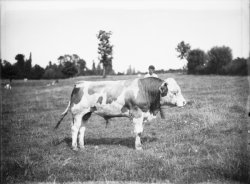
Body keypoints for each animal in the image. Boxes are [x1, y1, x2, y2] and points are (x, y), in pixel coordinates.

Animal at [55, 77, 188, 150]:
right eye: (174, 92)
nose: (184, 102)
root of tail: (79, 83)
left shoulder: (142, 115)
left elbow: (140, 131)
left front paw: (139, 145)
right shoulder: (137, 114)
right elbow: (138, 132)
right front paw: (138, 147)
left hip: (86, 114)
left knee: (82, 129)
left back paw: (82, 146)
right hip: (77, 114)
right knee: (75, 129)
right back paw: (75, 147)